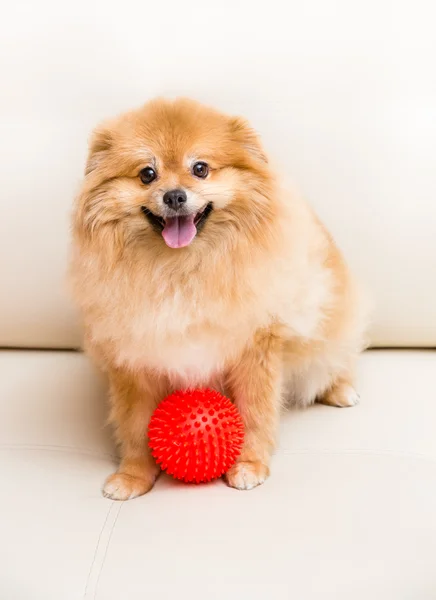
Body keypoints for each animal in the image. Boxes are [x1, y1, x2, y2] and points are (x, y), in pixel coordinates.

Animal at [70, 99, 366, 502]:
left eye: (201, 169)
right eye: (147, 174)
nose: (174, 195)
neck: (181, 270)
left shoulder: (255, 347)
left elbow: (255, 411)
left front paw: (249, 465)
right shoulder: (134, 356)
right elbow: (134, 425)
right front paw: (133, 476)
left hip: (329, 329)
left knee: (332, 361)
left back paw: (341, 390)